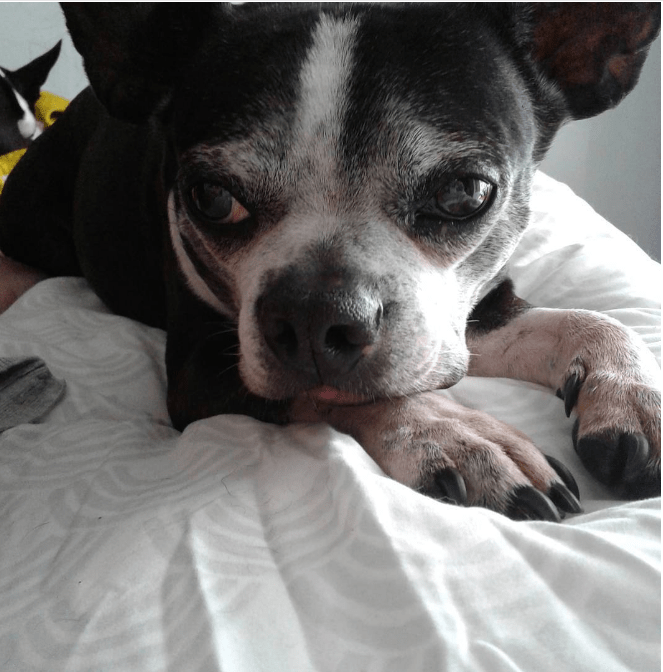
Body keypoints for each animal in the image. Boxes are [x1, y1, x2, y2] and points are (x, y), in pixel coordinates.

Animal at [0, 3, 660, 521]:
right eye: (211, 197)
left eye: (464, 193)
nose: (315, 318)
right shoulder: (200, 373)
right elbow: (353, 395)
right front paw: (456, 434)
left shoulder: (463, 321)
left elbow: (592, 320)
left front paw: (632, 392)